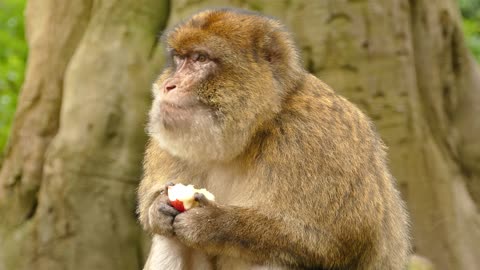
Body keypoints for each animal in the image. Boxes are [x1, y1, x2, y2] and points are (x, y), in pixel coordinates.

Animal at [137, 8, 410, 270]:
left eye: (200, 58)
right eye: (179, 59)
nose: (169, 85)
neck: (256, 130)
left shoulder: (316, 139)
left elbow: (338, 240)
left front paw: (213, 223)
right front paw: (158, 208)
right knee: (170, 239)